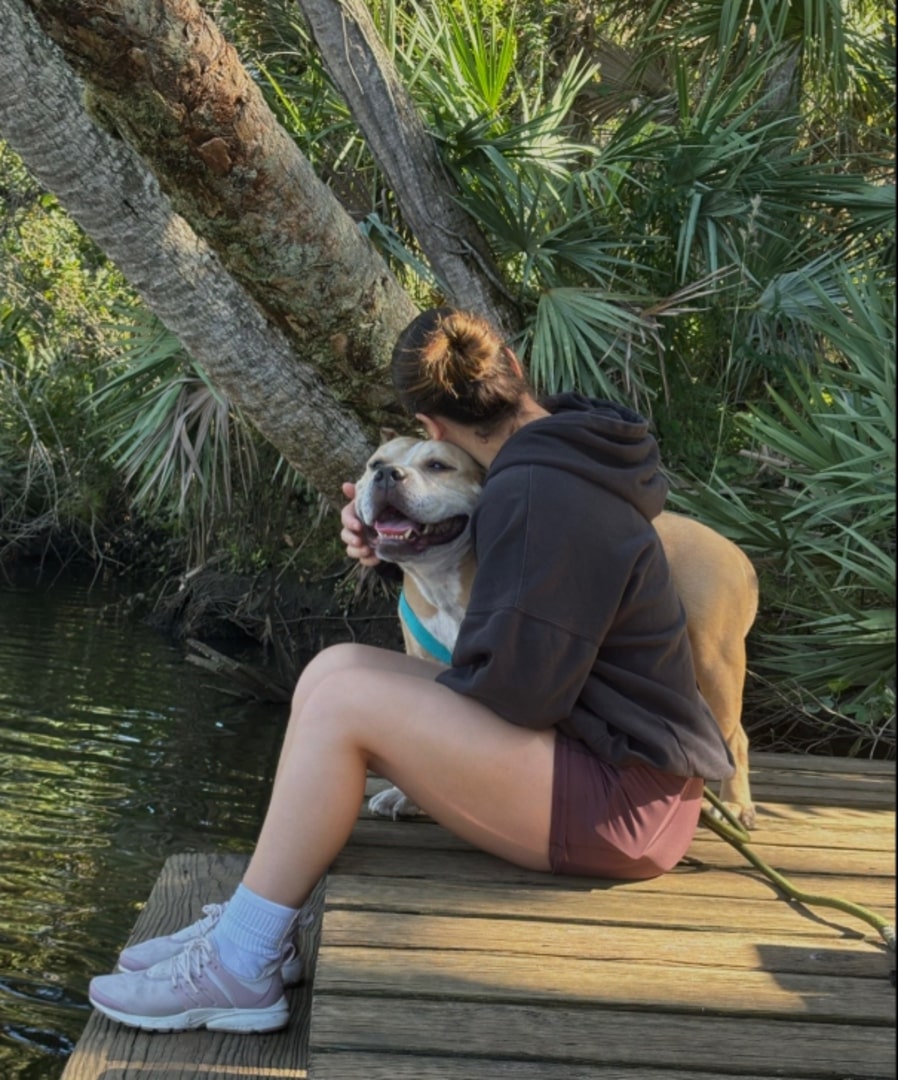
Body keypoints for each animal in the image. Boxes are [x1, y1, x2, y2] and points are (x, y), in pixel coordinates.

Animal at [356, 429, 760, 825]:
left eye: (438, 466)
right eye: (375, 463)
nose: (386, 475)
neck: (443, 581)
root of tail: (736, 551)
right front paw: (406, 795)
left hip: (715, 661)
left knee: (736, 736)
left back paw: (735, 803)